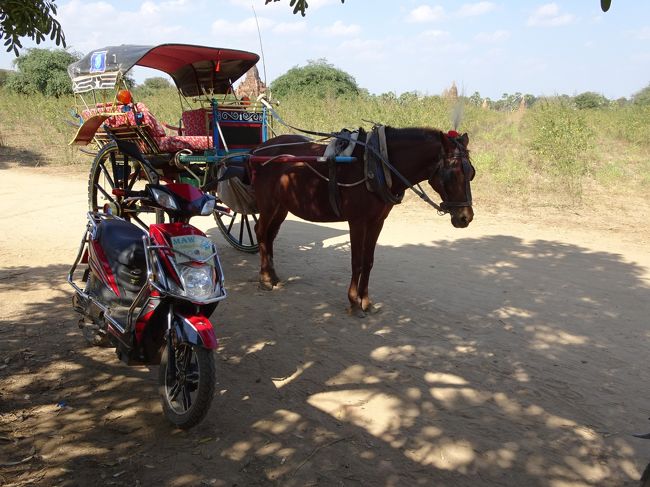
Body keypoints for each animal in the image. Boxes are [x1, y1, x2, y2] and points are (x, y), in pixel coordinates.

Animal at [246, 126, 474, 318]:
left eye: (471, 173)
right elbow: (356, 262)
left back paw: (273, 275)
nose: (466, 217)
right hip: (267, 204)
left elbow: (368, 261)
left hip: (282, 206)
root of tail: (257, 150)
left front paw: (366, 301)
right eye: (451, 173)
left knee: (270, 235)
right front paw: (353, 302)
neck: (377, 165)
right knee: (260, 231)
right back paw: (264, 279)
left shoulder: (377, 221)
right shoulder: (357, 221)